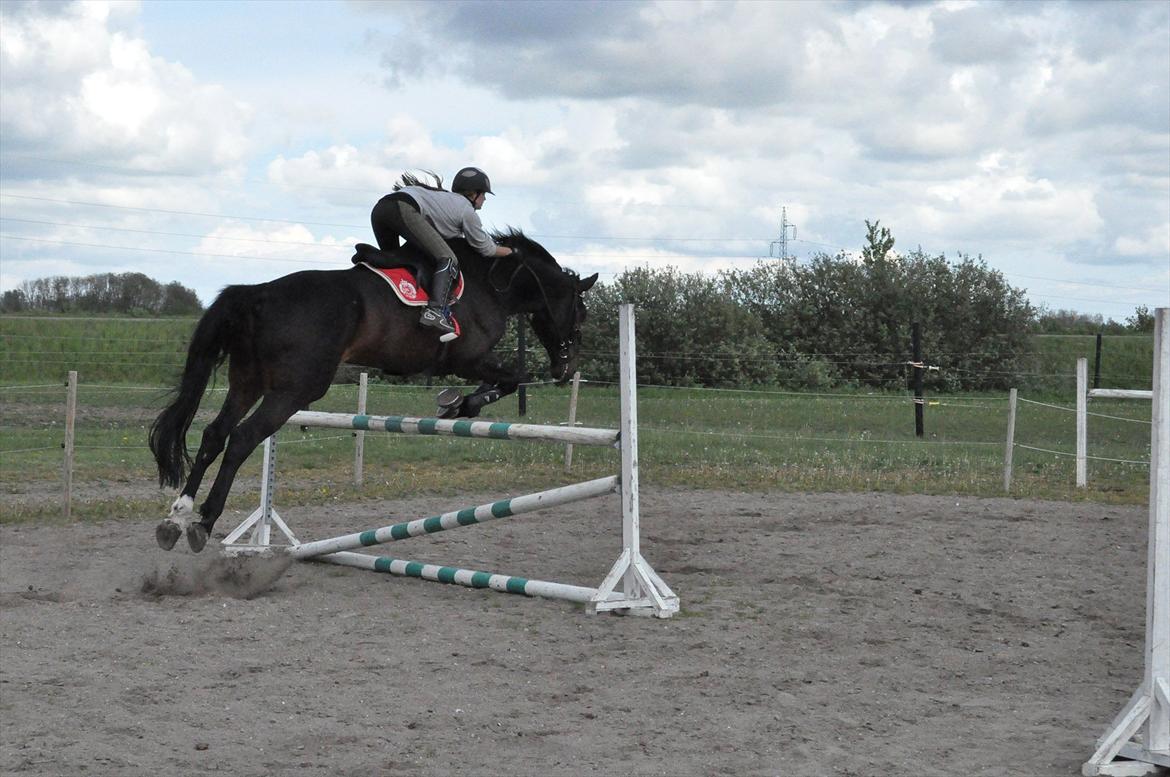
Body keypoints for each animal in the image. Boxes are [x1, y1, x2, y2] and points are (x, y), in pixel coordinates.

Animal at [148, 230, 594, 552]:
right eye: (580, 312)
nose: (566, 367)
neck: (494, 282)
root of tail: (257, 293)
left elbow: (508, 378)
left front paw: (458, 404)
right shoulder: (464, 359)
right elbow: (513, 377)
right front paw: (462, 404)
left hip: (248, 382)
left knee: (214, 435)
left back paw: (177, 516)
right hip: (294, 391)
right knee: (242, 438)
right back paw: (204, 521)